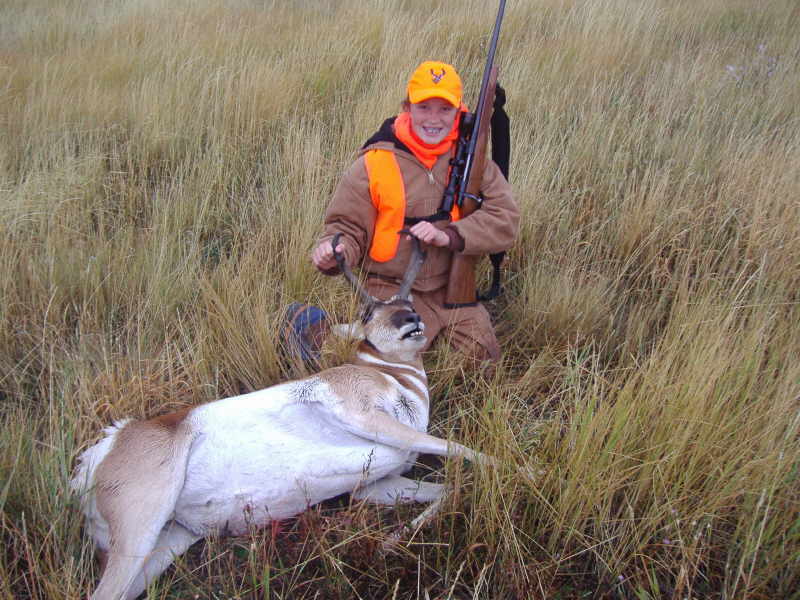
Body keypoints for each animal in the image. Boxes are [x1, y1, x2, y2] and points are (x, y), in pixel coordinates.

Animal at [72, 238, 490, 600]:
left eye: (410, 301)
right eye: (368, 313)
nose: (410, 319)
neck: (392, 377)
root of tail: (109, 444)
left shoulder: (375, 485)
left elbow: (448, 489)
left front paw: (392, 541)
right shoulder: (363, 415)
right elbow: (465, 450)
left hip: (167, 542)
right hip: (141, 524)